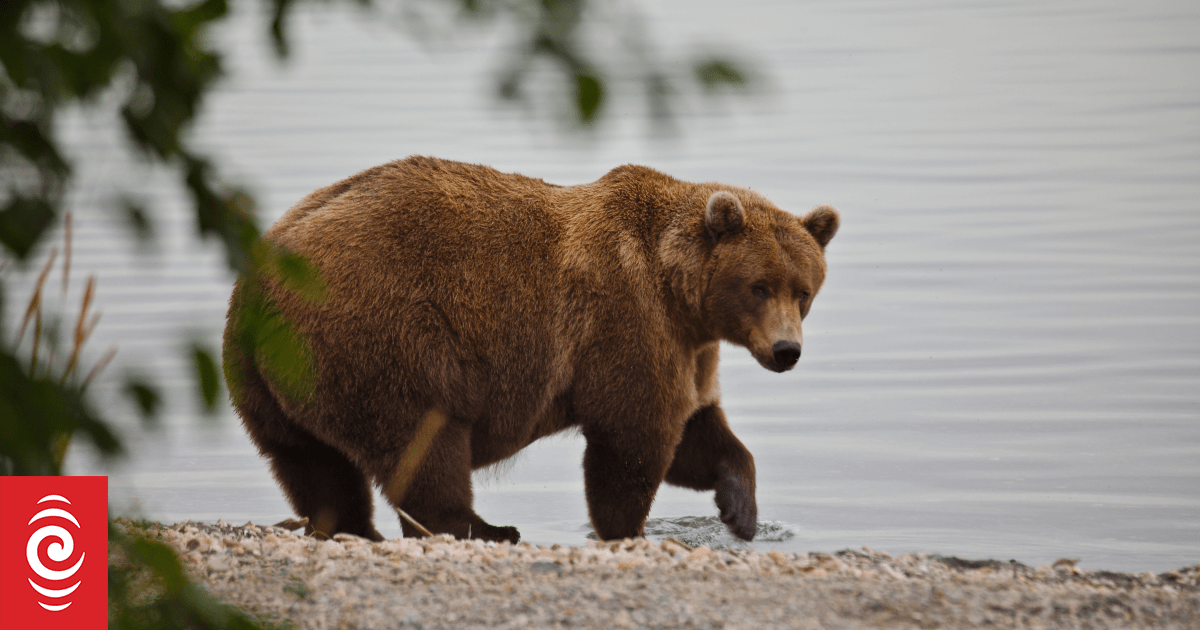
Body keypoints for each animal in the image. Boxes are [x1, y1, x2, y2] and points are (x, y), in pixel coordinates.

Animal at [222, 156, 838, 544]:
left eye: (803, 290)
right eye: (759, 287)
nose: (786, 350)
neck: (679, 292)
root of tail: (262, 277)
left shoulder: (689, 348)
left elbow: (698, 431)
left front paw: (740, 510)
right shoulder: (628, 322)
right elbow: (634, 438)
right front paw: (627, 528)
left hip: (269, 377)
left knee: (310, 461)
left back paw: (351, 527)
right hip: (385, 334)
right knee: (424, 439)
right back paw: (486, 528)